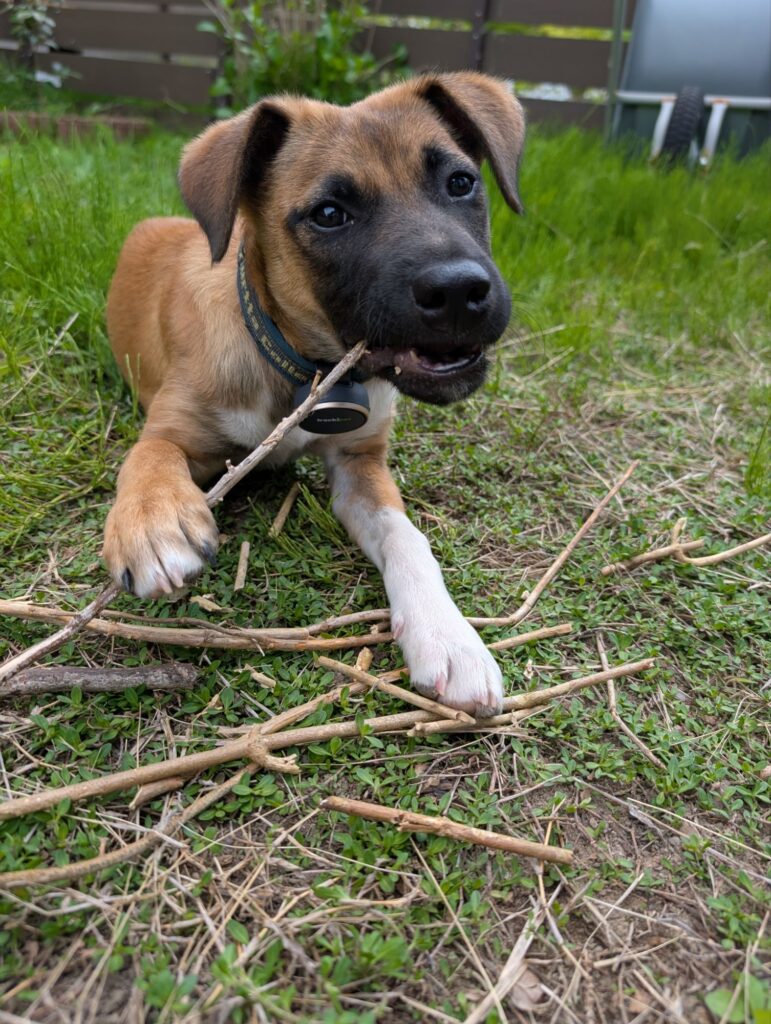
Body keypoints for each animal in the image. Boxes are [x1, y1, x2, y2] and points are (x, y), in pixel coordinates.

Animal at [103, 71, 525, 717]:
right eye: (329, 214)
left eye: (461, 183)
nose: (459, 291)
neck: (304, 372)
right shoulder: (175, 427)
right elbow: (149, 455)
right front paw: (152, 521)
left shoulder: (360, 463)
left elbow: (408, 536)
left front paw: (449, 635)